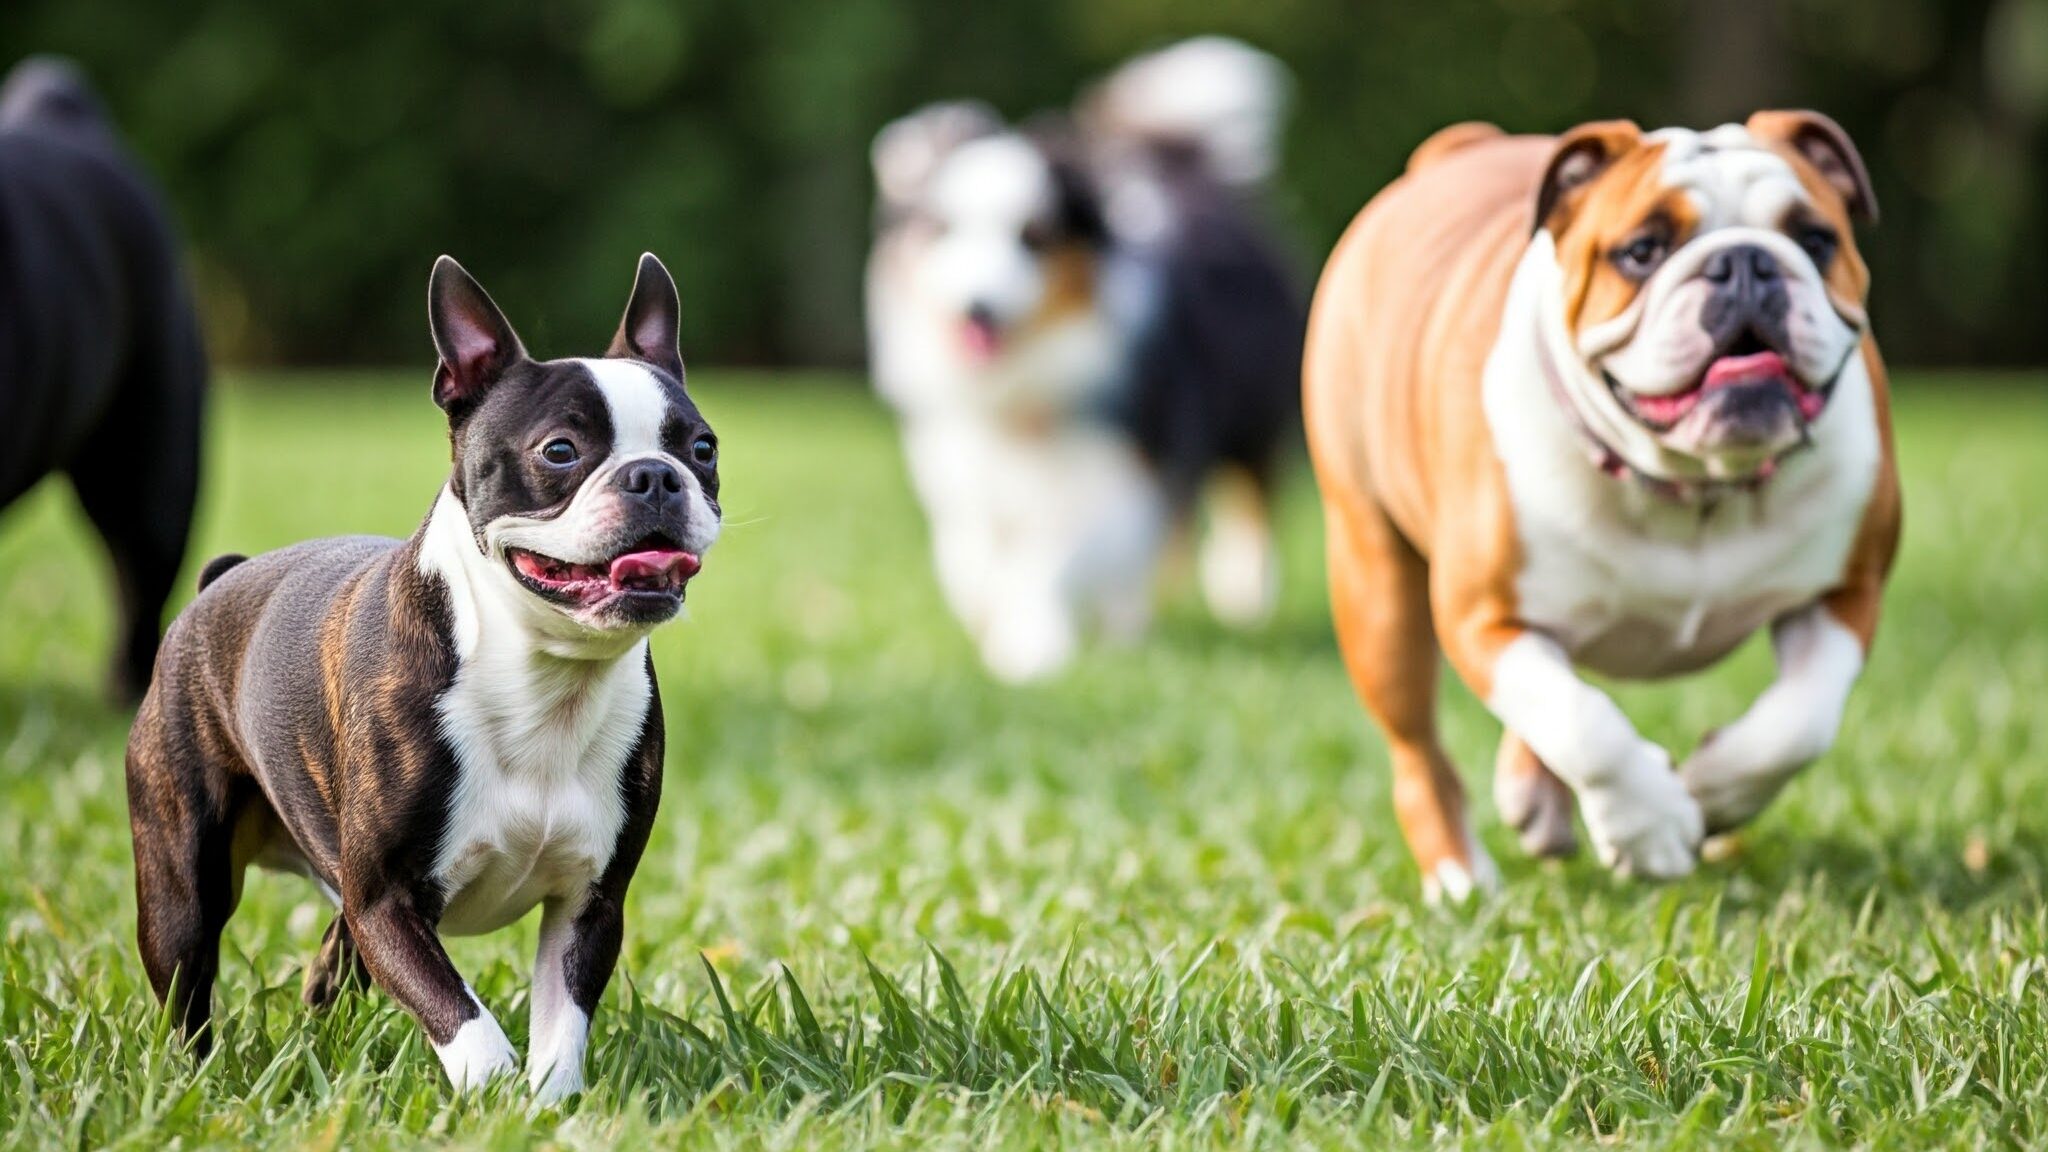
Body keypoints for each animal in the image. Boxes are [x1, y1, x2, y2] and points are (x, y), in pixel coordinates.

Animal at [864, 38, 1294, 680]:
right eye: (944, 231)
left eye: (1033, 237)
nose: (977, 308)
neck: (1025, 386)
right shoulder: (966, 466)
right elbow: (970, 555)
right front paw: (990, 610)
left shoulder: (1125, 468)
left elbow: (1052, 560)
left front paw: (1030, 647)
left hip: (1249, 410)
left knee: (1247, 500)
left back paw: (1241, 591)